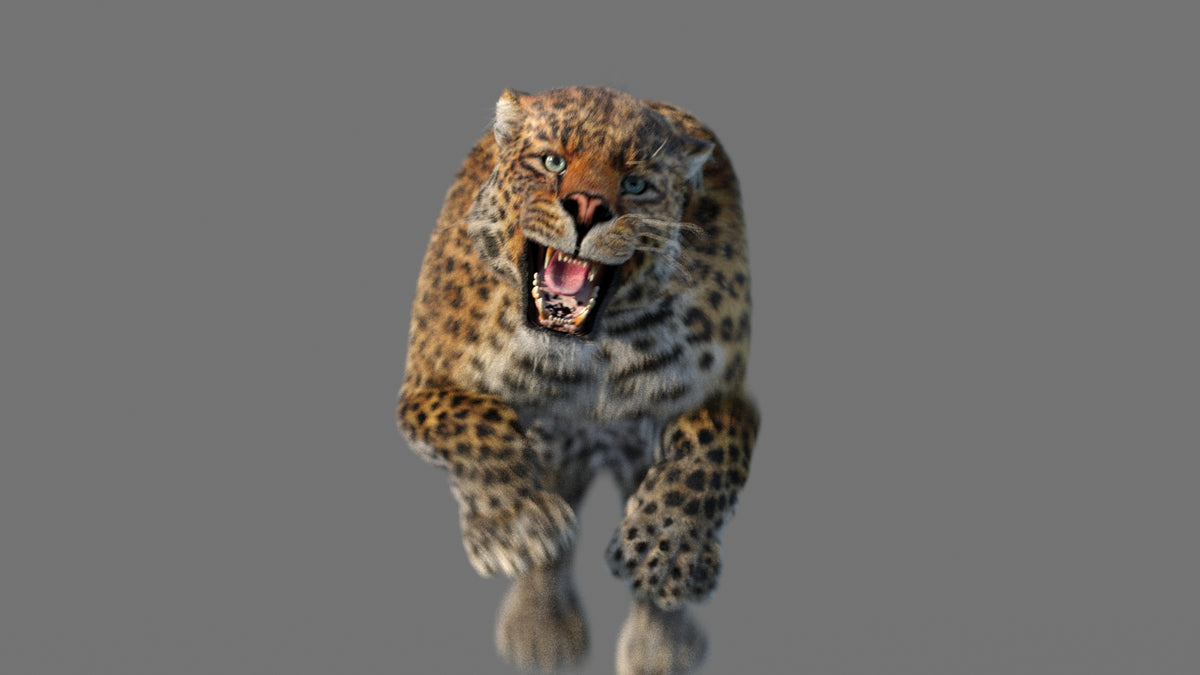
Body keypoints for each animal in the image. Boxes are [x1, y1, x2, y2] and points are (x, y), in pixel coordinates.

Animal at [397, 86, 758, 674]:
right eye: (552, 163)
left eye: (635, 184)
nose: (588, 208)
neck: (585, 360)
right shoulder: (426, 388)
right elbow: (474, 419)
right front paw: (516, 528)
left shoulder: (725, 398)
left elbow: (712, 449)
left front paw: (666, 556)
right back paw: (540, 628)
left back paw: (660, 645)